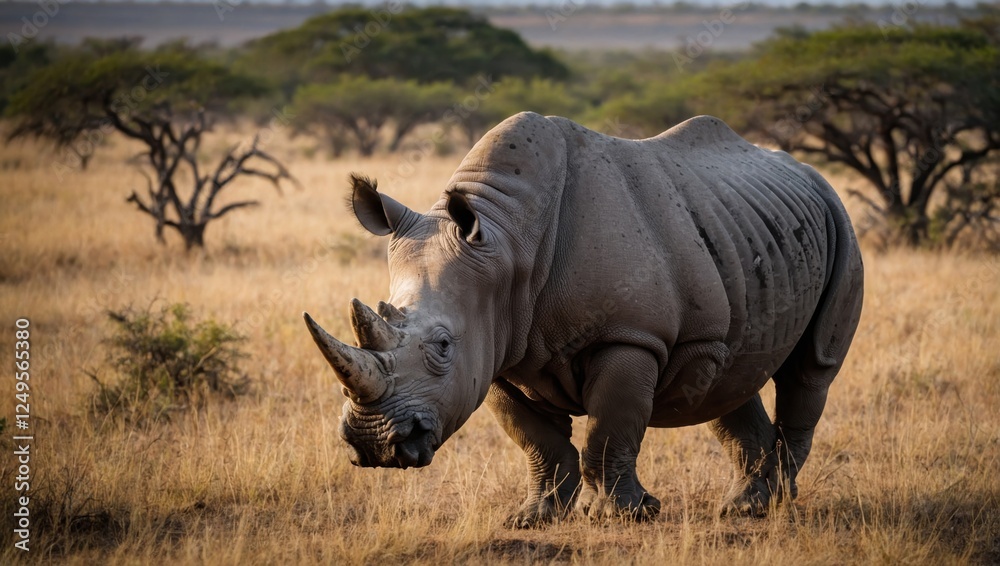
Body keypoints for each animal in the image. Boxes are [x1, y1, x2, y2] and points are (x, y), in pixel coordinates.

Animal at [303, 112, 864, 525]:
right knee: (727, 375)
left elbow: (608, 428)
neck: (508, 244)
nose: (373, 443)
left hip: (840, 220)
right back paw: (746, 506)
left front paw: (627, 515)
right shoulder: (499, 349)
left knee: (811, 368)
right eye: (383, 311)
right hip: (741, 232)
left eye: (442, 346)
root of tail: (807, 172)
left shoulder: (632, 336)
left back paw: (776, 501)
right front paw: (533, 518)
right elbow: (538, 441)